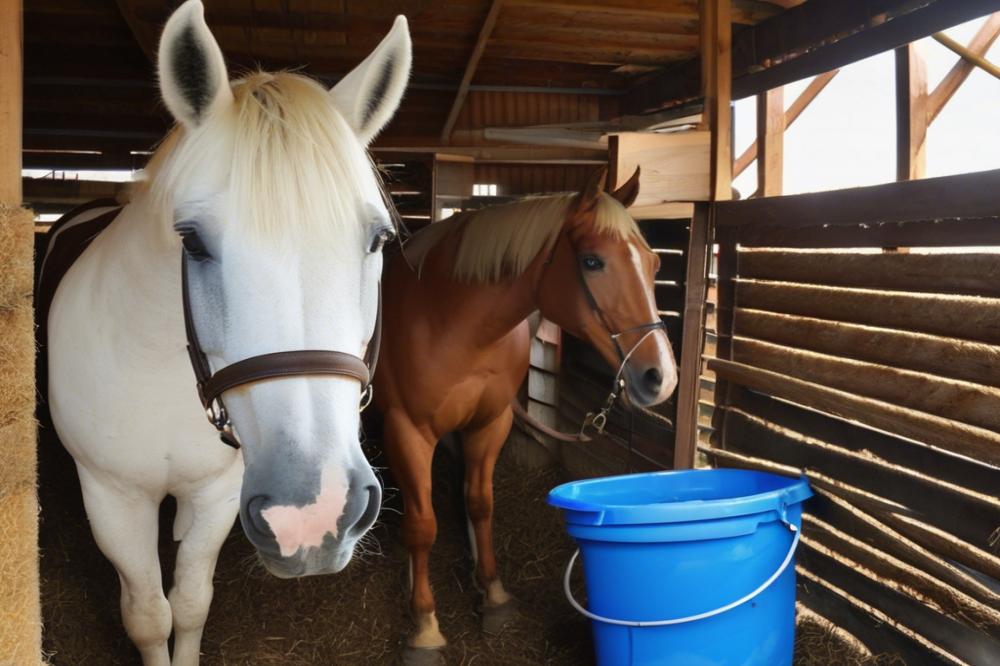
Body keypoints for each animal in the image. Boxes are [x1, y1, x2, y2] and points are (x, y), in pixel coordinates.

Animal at [46, 2, 410, 660]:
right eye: (191, 240)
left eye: (377, 239)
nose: (313, 512)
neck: (161, 369)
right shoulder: (112, 498)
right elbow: (148, 615)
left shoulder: (218, 494)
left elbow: (191, 603)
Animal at [376, 167, 680, 660]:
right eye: (592, 262)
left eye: (654, 264)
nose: (662, 377)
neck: (448, 320)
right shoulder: (408, 430)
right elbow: (422, 527)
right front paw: (424, 626)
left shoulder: (491, 422)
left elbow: (480, 503)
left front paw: (492, 591)